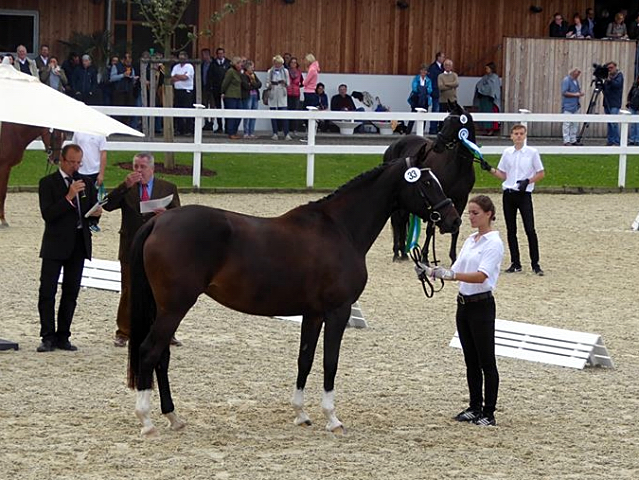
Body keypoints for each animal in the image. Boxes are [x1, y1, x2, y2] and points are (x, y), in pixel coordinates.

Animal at [127, 155, 462, 436]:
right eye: (426, 184)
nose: (453, 219)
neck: (340, 229)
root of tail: (158, 220)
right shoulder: (338, 311)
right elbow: (330, 362)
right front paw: (332, 418)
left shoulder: (312, 314)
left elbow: (305, 359)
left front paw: (301, 414)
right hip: (175, 307)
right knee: (149, 351)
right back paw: (146, 421)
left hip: (165, 308)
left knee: (162, 357)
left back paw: (173, 416)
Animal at [382, 102, 478, 262]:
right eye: (444, 121)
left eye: (454, 123)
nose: (437, 145)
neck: (458, 166)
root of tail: (394, 144)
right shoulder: (435, 200)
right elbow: (430, 229)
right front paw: (424, 256)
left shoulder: (461, 200)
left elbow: (455, 229)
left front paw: (453, 258)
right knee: (397, 219)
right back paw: (397, 252)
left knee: (402, 219)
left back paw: (403, 253)